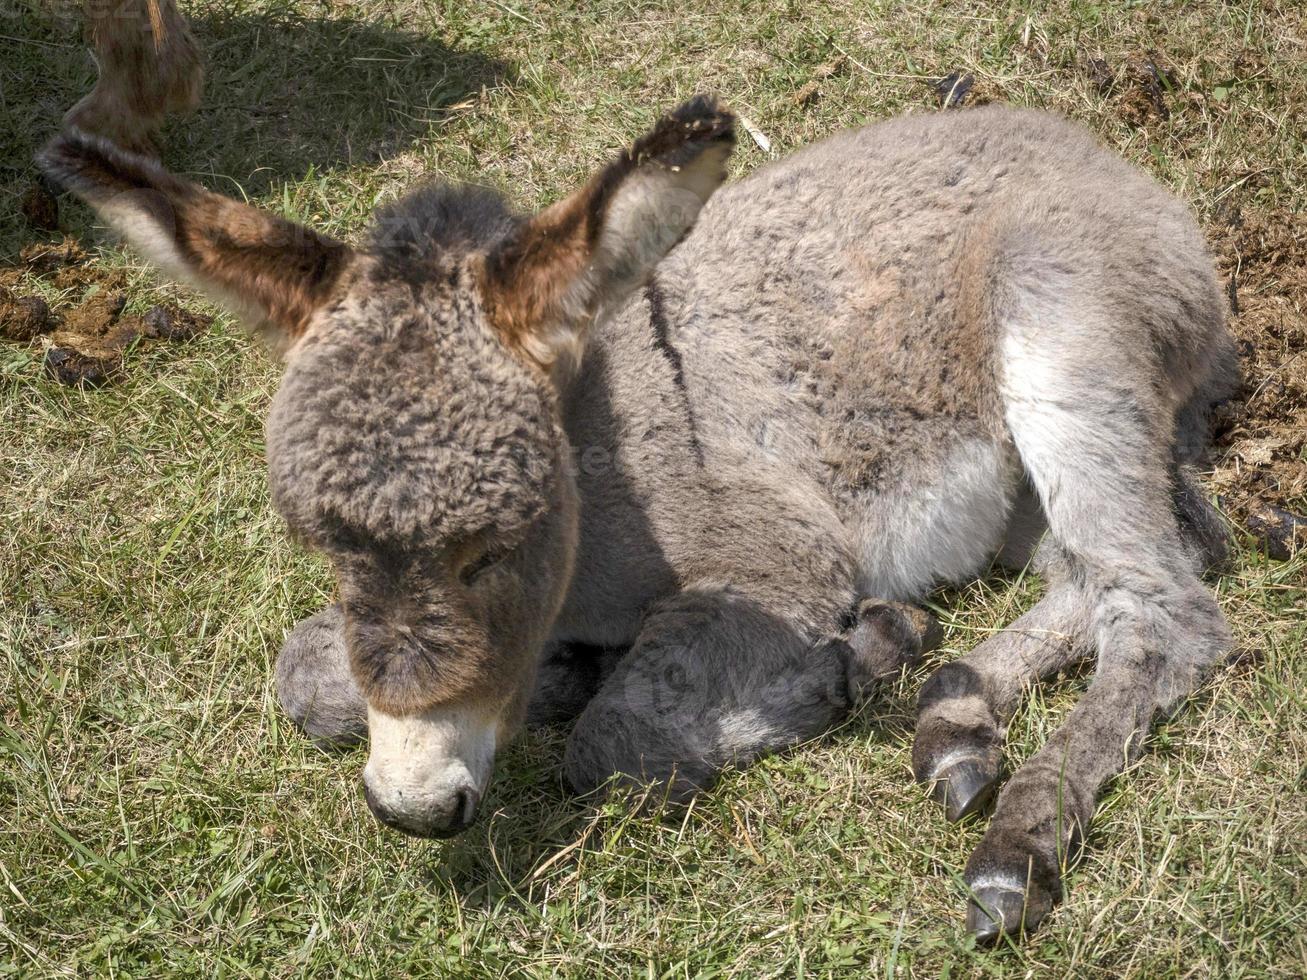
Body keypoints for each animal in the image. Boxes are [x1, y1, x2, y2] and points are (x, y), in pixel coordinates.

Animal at [40, 97, 1233, 946]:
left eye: (498, 543)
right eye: (322, 544)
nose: (416, 809)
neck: (592, 440)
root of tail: (1096, 154)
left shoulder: (779, 556)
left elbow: (611, 746)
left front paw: (831, 674)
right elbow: (302, 676)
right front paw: (554, 678)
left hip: (1060, 337)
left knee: (1162, 608)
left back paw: (1013, 841)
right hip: (1029, 470)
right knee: (1094, 575)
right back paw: (955, 718)